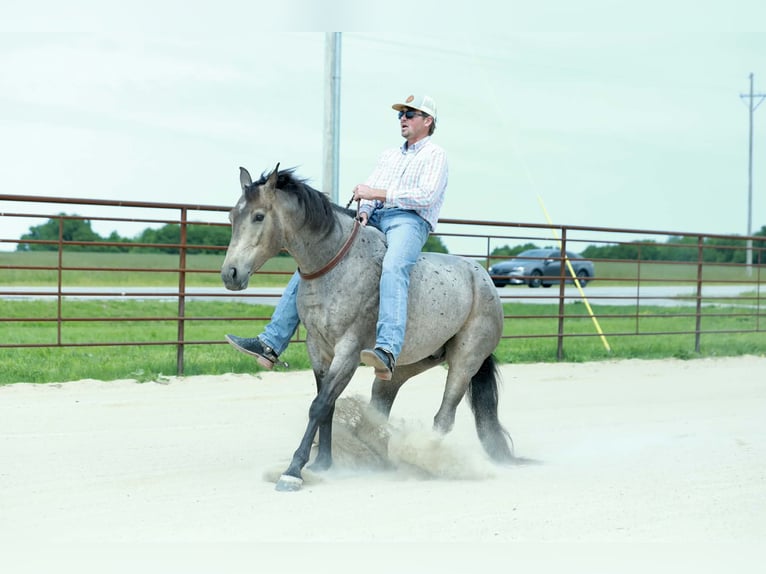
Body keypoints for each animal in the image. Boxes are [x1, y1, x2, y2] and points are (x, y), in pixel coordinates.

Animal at [221, 164, 514, 491]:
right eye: (232, 217)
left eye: (259, 216)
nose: (231, 274)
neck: (338, 265)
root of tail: (483, 278)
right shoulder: (318, 350)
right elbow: (327, 406)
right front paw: (323, 463)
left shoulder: (348, 352)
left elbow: (319, 406)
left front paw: (294, 470)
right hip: (400, 369)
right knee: (381, 409)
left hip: (466, 361)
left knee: (444, 417)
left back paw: (428, 459)